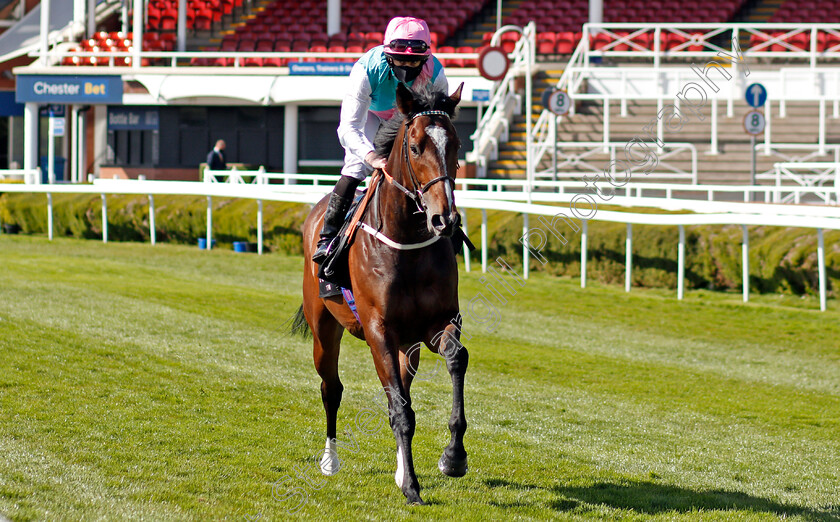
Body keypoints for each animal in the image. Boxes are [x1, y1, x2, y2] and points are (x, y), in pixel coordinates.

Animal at [292, 82, 470, 504]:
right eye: (416, 146)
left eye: (456, 143)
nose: (445, 218)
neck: (407, 244)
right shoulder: (379, 331)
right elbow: (400, 411)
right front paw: (413, 486)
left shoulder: (439, 324)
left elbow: (456, 359)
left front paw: (453, 457)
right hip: (324, 329)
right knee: (331, 388)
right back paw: (330, 460)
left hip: (409, 346)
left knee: (400, 390)